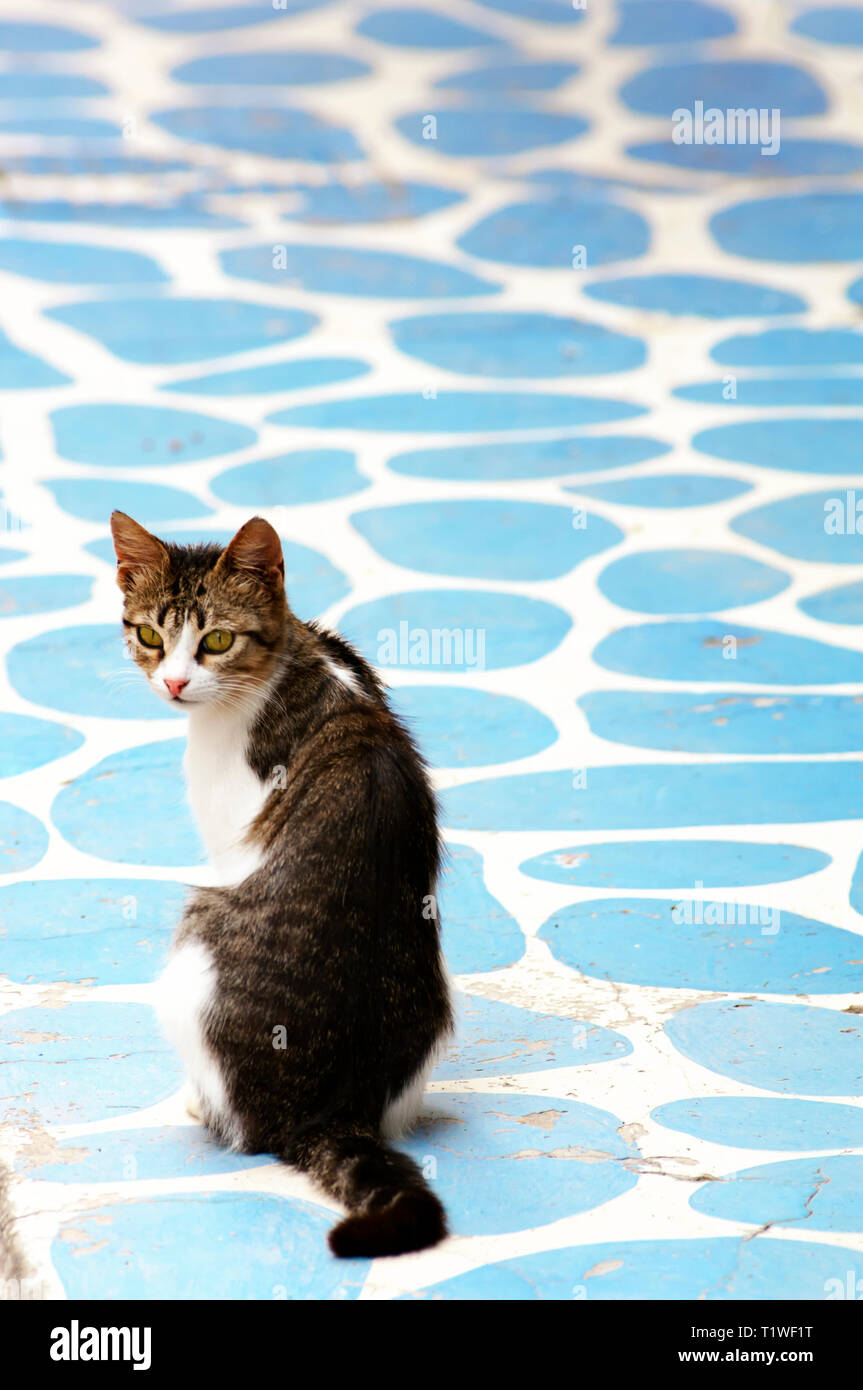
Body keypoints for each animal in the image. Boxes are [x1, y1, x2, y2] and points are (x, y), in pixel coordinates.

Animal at [107, 514, 450, 1262]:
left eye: (216, 640)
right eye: (149, 635)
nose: (174, 684)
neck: (292, 655)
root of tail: (324, 1111)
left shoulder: (225, 836)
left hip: (192, 947)